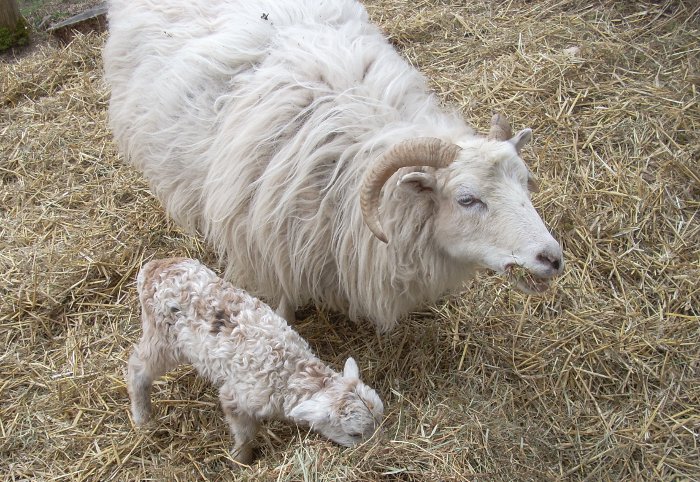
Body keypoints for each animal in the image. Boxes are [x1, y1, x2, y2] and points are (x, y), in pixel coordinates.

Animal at [127, 257, 384, 464]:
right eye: (354, 434)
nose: (376, 448)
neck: (288, 371)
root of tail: (154, 268)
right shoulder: (236, 397)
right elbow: (245, 434)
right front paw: (241, 460)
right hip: (163, 338)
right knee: (137, 368)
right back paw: (142, 418)